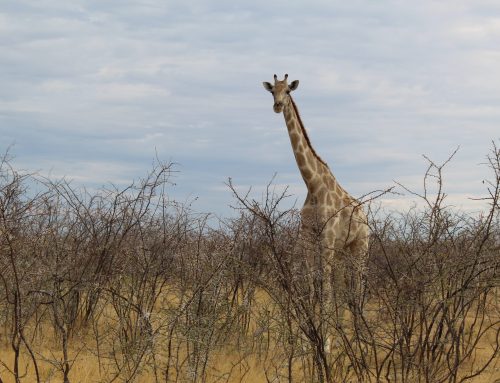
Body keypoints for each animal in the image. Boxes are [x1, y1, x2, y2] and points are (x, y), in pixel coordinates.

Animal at [262, 74, 368, 312]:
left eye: (288, 91)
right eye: (272, 91)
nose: (277, 105)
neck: (313, 184)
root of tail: (366, 216)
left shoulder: (327, 237)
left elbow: (325, 291)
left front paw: (324, 322)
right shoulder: (307, 237)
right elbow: (312, 286)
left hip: (361, 246)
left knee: (358, 286)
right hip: (343, 250)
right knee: (343, 286)